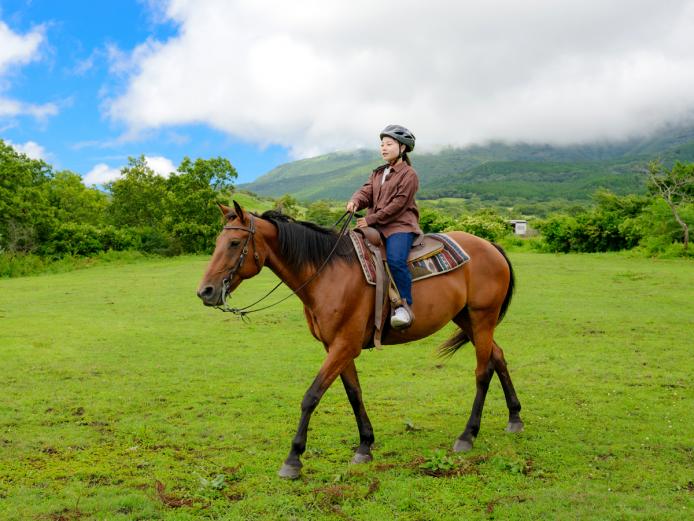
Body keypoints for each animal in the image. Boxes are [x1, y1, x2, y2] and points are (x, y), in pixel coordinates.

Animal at [196, 201, 520, 478]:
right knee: (498, 356)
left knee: (483, 371)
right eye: (217, 243)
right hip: (468, 319)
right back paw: (515, 418)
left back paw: (468, 435)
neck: (326, 273)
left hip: (482, 317)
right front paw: (365, 445)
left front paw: (293, 459)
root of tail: (490, 246)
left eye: (234, 243)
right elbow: (354, 393)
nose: (205, 292)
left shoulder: (344, 345)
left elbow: (311, 396)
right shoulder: (336, 346)